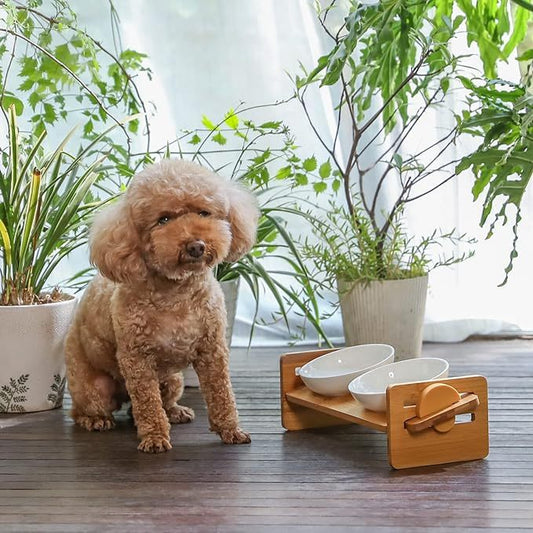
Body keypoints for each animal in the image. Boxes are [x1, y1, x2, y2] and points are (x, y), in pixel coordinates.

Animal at [63, 159, 258, 454]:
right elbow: (148, 404)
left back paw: (175, 412)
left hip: (173, 380)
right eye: (163, 219)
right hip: (94, 387)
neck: (177, 293)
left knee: (154, 404)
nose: (196, 246)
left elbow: (222, 394)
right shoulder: (137, 359)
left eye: (204, 212)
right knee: (86, 409)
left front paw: (231, 430)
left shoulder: (212, 350)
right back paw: (95, 420)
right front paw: (154, 437)